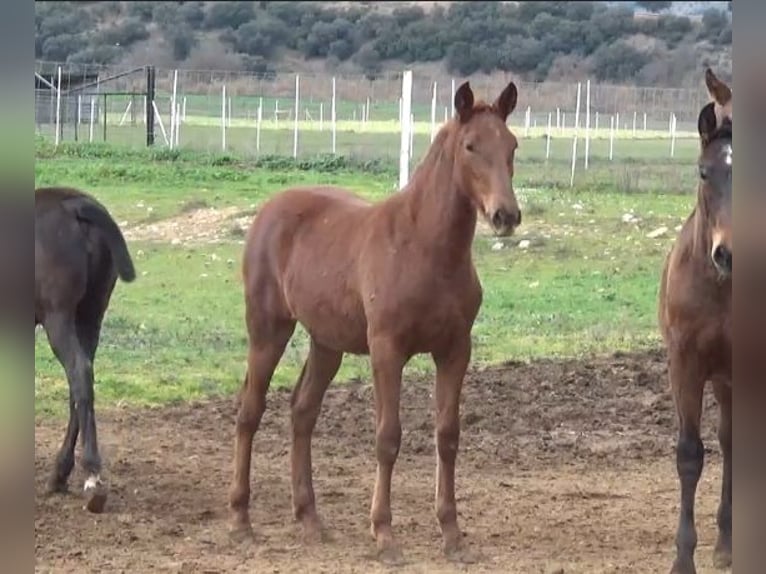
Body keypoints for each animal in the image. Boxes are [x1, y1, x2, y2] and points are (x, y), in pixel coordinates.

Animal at [35, 188, 136, 512]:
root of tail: (75, 204)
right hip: (91, 315)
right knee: (81, 385)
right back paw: (61, 473)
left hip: (59, 316)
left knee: (78, 372)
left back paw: (92, 475)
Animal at [228, 81, 524, 568]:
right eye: (470, 146)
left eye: (512, 146)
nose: (506, 215)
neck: (425, 247)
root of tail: (270, 209)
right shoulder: (387, 349)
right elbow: (388, 437)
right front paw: (384, 535)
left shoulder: (455, 350)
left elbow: (448, 435)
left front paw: (452, 534)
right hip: (268, 329)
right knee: (250, 411)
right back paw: (240, 520)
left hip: (326, 342)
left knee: (302, 412)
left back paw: (310, 519)